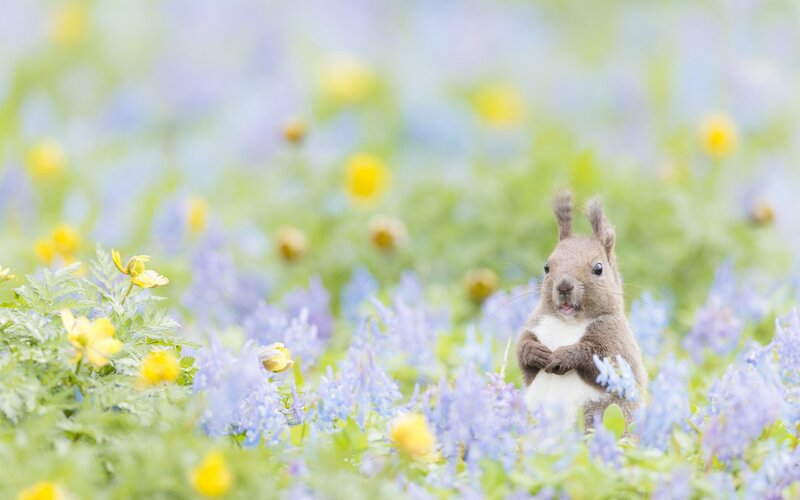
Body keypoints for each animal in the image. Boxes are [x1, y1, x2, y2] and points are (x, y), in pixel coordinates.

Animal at [516, 190, 647, 429]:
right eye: (547, 266)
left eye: (598, 268)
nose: (564, 286)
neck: (568, 322)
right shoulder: (536, 324)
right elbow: (522, 353)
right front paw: (534, 352)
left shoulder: (617, 338)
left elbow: (603, 358)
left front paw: (564, 356)